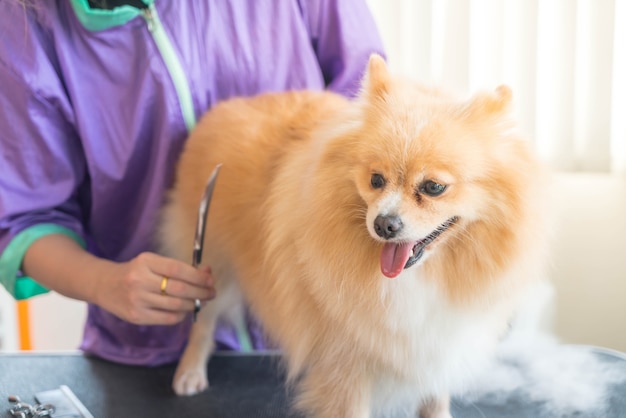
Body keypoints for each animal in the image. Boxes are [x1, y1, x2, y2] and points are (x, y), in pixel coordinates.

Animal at [158, 54, 548, 416]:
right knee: (203, 322)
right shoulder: (345, 364)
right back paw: (190, 372)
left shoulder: (438, 343)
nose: (384, 224)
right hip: (211, 261)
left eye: (433, 187)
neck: (420, 276)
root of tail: (224, 107)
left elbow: (435, 396)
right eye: (376, 180)